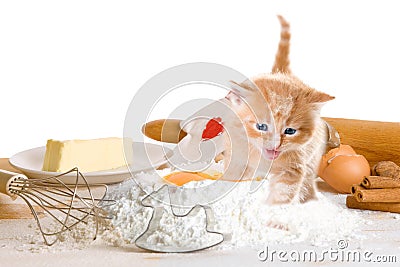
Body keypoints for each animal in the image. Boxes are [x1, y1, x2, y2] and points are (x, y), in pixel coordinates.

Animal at [225, 15, 334, 204]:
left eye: (290, 131)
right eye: (261, 127)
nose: (275, 145)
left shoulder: (293, 167)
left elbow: (283, 193)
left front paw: (273, 210)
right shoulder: (235, 156)